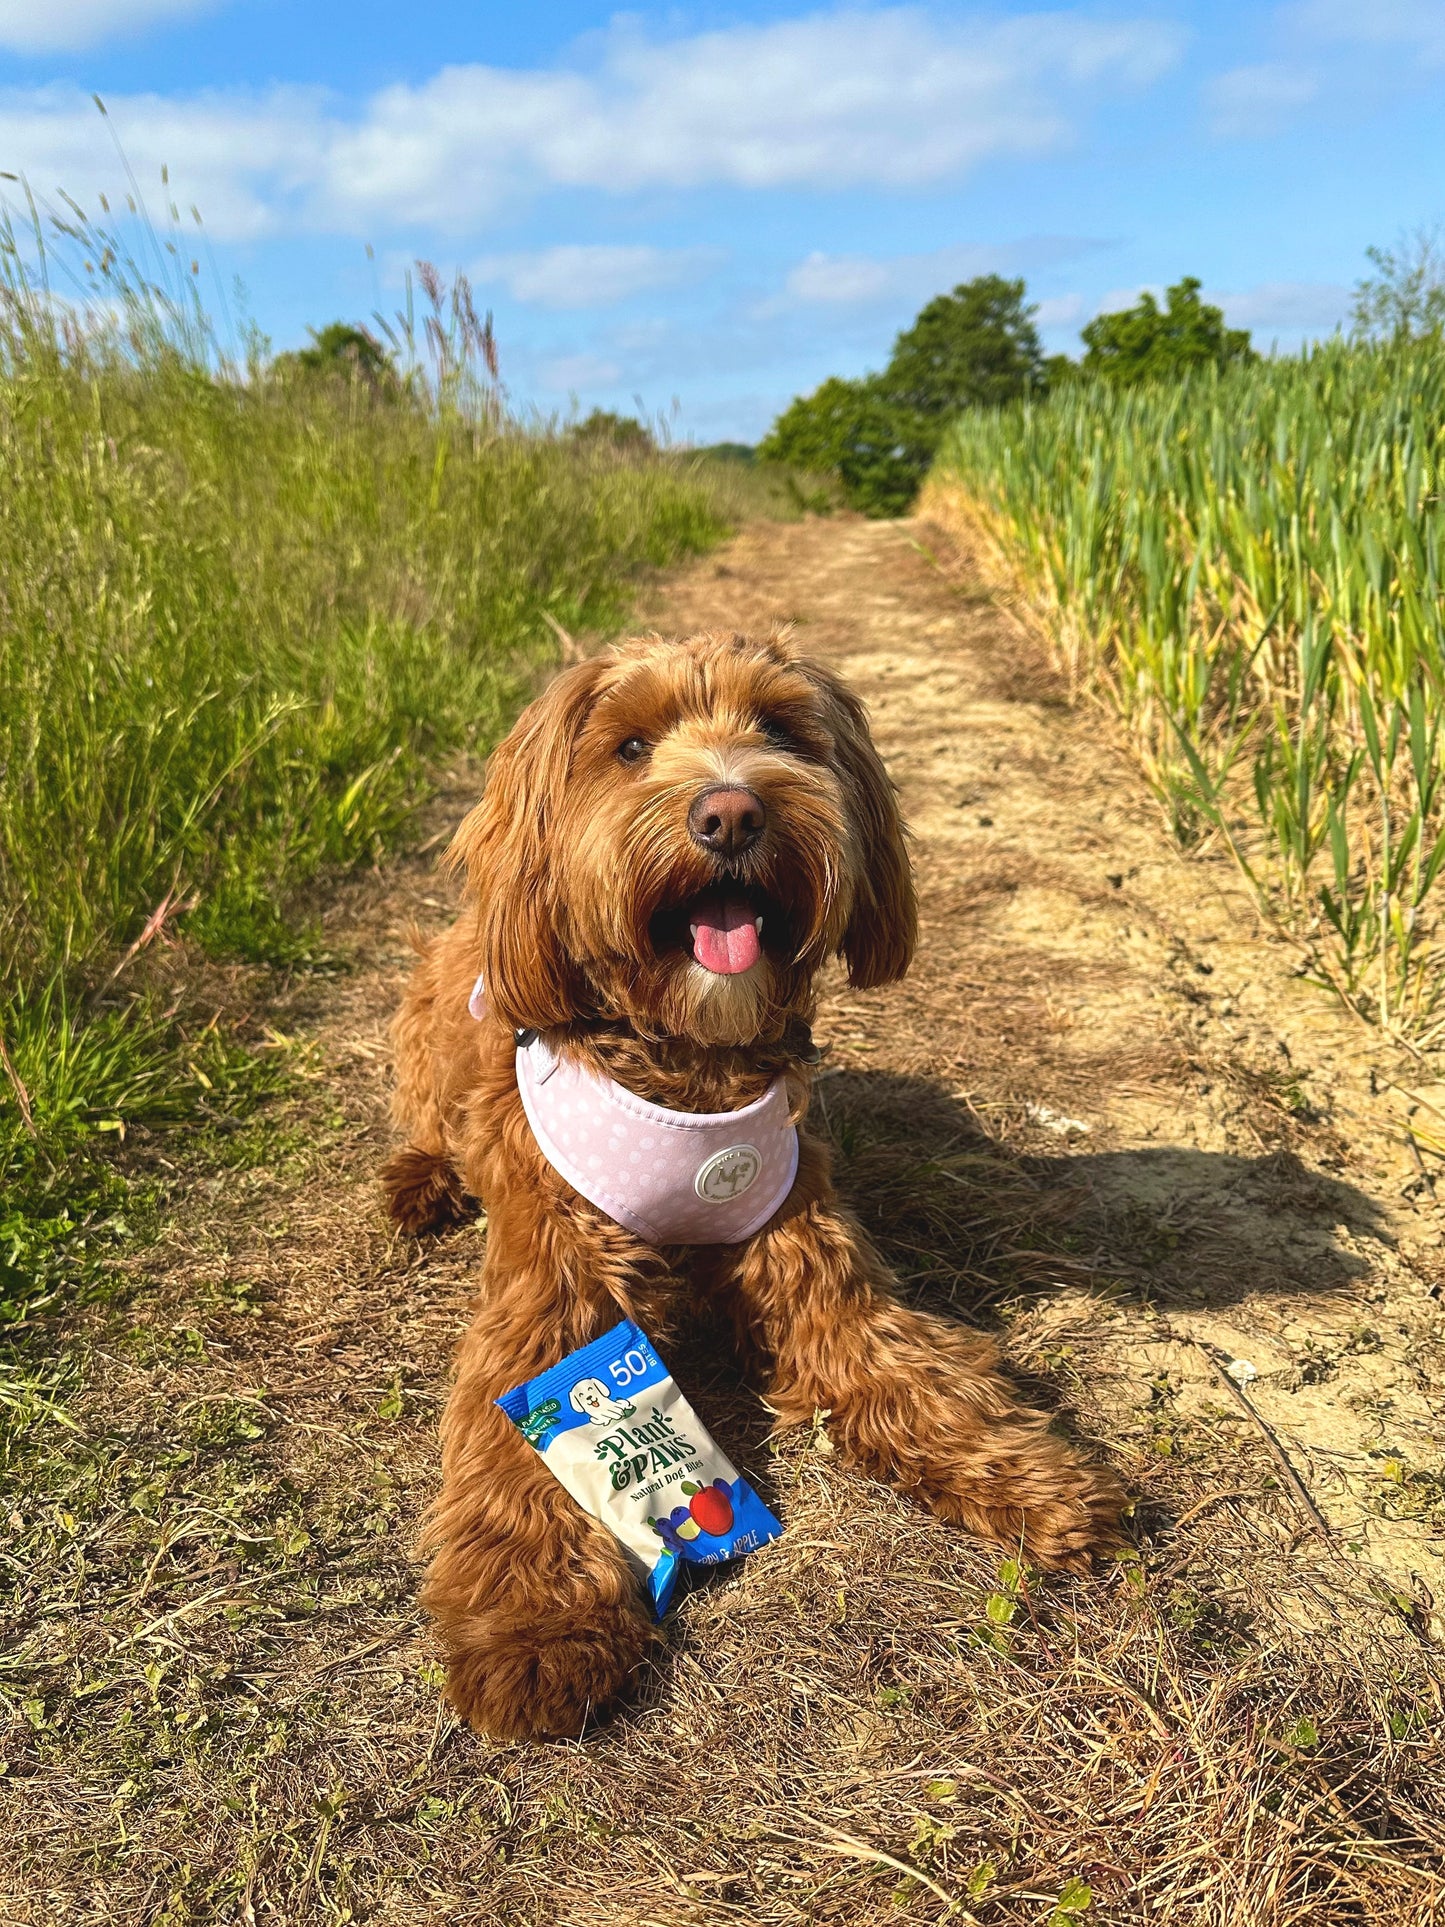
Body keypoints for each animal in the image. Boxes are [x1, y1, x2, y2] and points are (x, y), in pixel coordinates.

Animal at [379, 624, 1125, 1742]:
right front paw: (532, 1628)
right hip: (427, 1024)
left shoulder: (815, 1258)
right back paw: (419, 1177)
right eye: (629, 746)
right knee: (426, 1117)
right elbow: (518, 1460)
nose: (730, 812)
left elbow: (912, 1369)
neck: (688, 1063)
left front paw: (1027, 1474)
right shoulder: (551, 1292)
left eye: (778, 731)